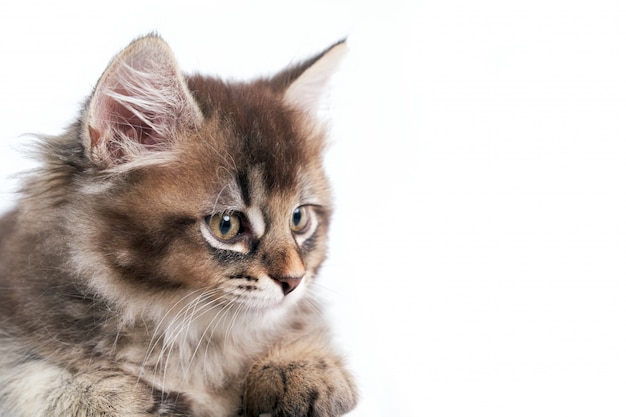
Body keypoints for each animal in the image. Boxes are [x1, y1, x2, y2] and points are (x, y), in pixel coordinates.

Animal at [0, 35, 356, 416]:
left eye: (299, 219)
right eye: (226, 225)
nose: (293, 281)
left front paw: (303, 367)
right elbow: (35, 376)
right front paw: (118, 396)